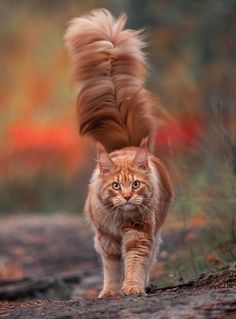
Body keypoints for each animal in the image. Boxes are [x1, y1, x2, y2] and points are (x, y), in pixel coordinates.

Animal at [64, 8, 173, 298]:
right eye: (115, 186)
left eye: (135, 184)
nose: (126, 197)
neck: (120, 218)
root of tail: (128, 143)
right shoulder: (106, 239)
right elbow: (111, 268)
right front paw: (111, 292)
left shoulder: (139, 233)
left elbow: (135, 262)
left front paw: (133, 287)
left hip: (155, 229)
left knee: (152, 257)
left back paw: (145, 284)